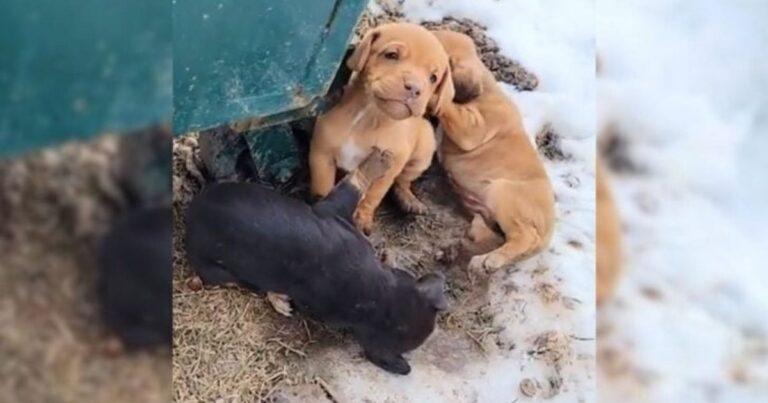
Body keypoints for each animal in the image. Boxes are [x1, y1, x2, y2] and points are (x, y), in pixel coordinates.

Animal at [186, 148, 448, 376]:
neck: (379, 295)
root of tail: (192, 211)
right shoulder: (330, 210)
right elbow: (352, 184)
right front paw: (385, 157)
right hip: (218, 270)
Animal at [312, 23, 452, 234]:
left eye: (433, 78)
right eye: (391, 55)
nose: (414, 88)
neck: (370, 117)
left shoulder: (388, 167)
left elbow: (373, 195)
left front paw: (362, 218)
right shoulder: (322, 155)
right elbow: (323, 187)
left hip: (423, 151)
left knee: (403, 180)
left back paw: (408, 199)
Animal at [432, 30, 552, 274]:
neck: (485, 89)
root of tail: (549, 231)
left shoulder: (472, 129)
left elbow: (448, 104)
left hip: (502, 191)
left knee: (525, 236)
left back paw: (491, 260)